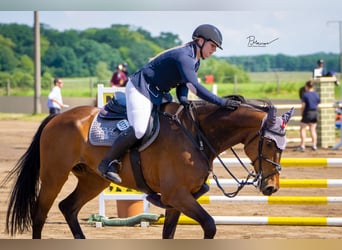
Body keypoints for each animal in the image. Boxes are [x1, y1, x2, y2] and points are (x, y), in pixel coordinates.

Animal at [1, 97, 292, 238]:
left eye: (283, 144)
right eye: (268, 142)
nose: (271, 187)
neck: (195, 134)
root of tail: (57, 117)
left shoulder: (178, 200)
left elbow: (169, 233)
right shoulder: (177, 196)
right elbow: (210, 226)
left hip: (93, 180)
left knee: (68, 207)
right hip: (54, 176)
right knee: (40, 214)